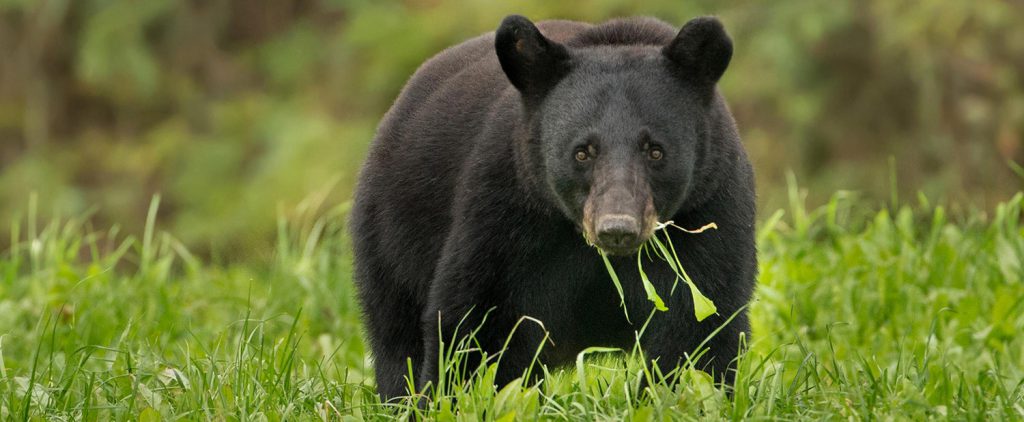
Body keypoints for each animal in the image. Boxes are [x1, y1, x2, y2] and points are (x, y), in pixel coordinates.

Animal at [348, 14, 757, 401]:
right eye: (582, 152)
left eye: (655, 150)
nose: (617, 229)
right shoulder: (506, 212)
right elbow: (479, 324)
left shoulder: (709, 211)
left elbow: (698, 327)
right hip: (392, 234)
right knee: (396, 337)